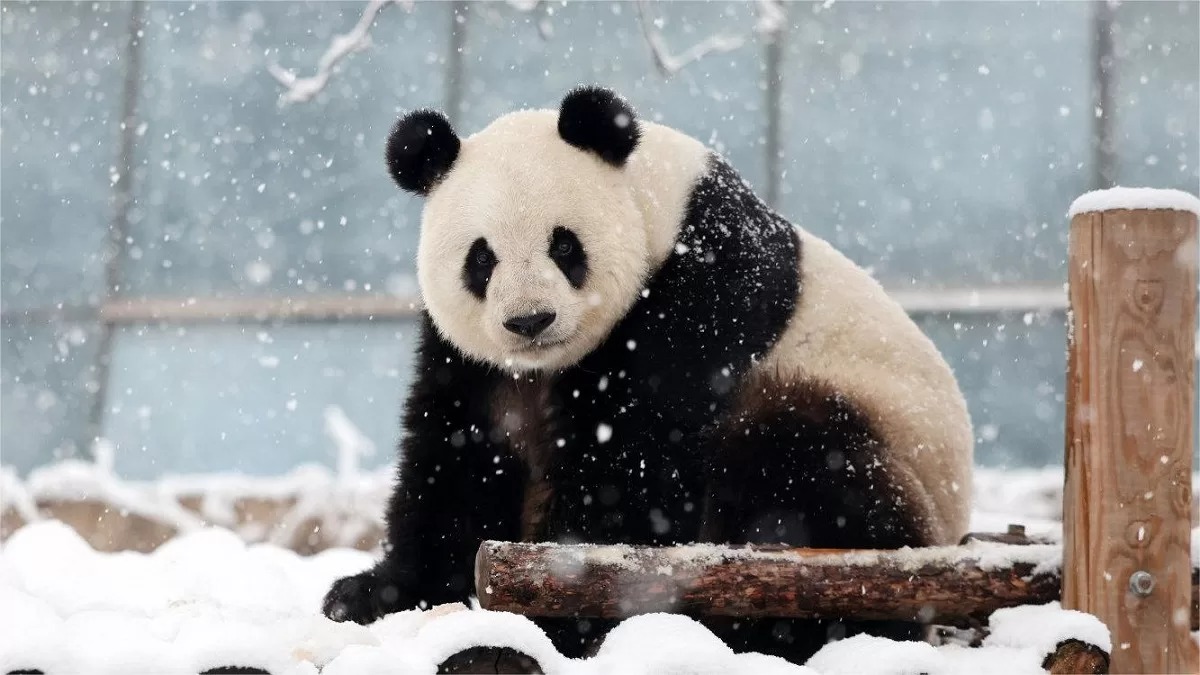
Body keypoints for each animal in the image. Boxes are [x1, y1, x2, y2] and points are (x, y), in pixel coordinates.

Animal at [322, 86, 974, 664]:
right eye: (481, 259)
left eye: (564, 247)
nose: (530, 320)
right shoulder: (468, 362)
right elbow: (459, 453)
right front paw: (373, 596)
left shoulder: (703, 286)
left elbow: (633, 456)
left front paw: (558, 608)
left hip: (866, 430)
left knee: (800, 464)